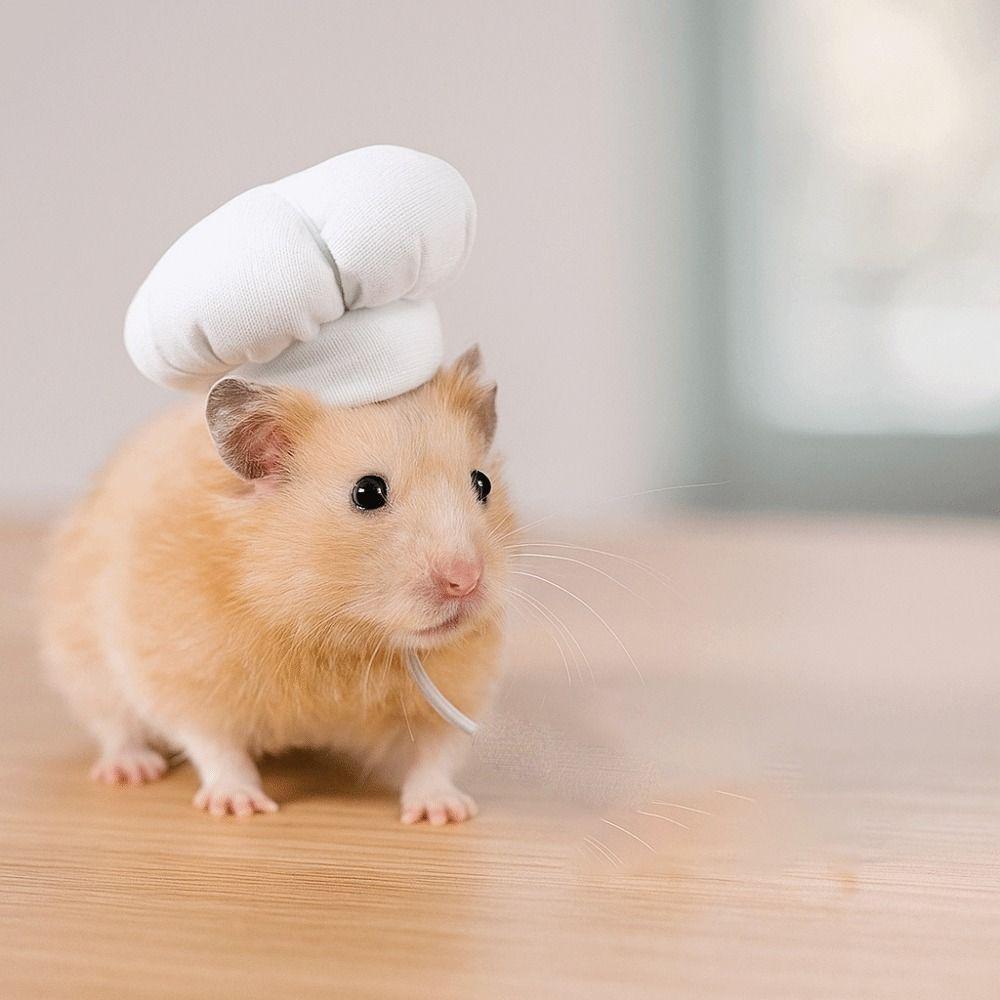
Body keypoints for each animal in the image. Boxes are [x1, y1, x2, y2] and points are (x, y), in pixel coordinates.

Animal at [39, 346, 513, 824]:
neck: (344, 638)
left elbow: (437, 754)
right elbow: (213, 744)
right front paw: (240, 807)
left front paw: (445, 812)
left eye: (482, 483)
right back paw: (131, 770)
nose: (466, 581)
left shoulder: (461, 692)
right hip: (81, 661)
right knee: (113, 725)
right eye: (367, 492)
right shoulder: (183, 674)